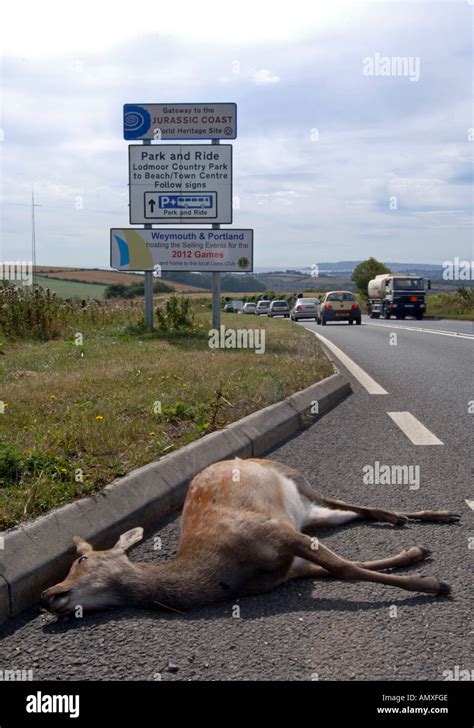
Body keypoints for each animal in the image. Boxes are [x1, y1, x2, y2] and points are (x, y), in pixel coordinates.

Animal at [40, 458, 460, 616]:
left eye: (82, 559)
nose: (46, 595)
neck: (222, 575)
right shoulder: (291, 567)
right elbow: (346, 566)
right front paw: (415, 556)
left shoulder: (274, 531)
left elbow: (346, 568)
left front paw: (432, 583)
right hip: (311, 516)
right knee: (354, 512)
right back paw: (413, 521)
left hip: (297, 481)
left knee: (351, 502)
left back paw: (433, 514)